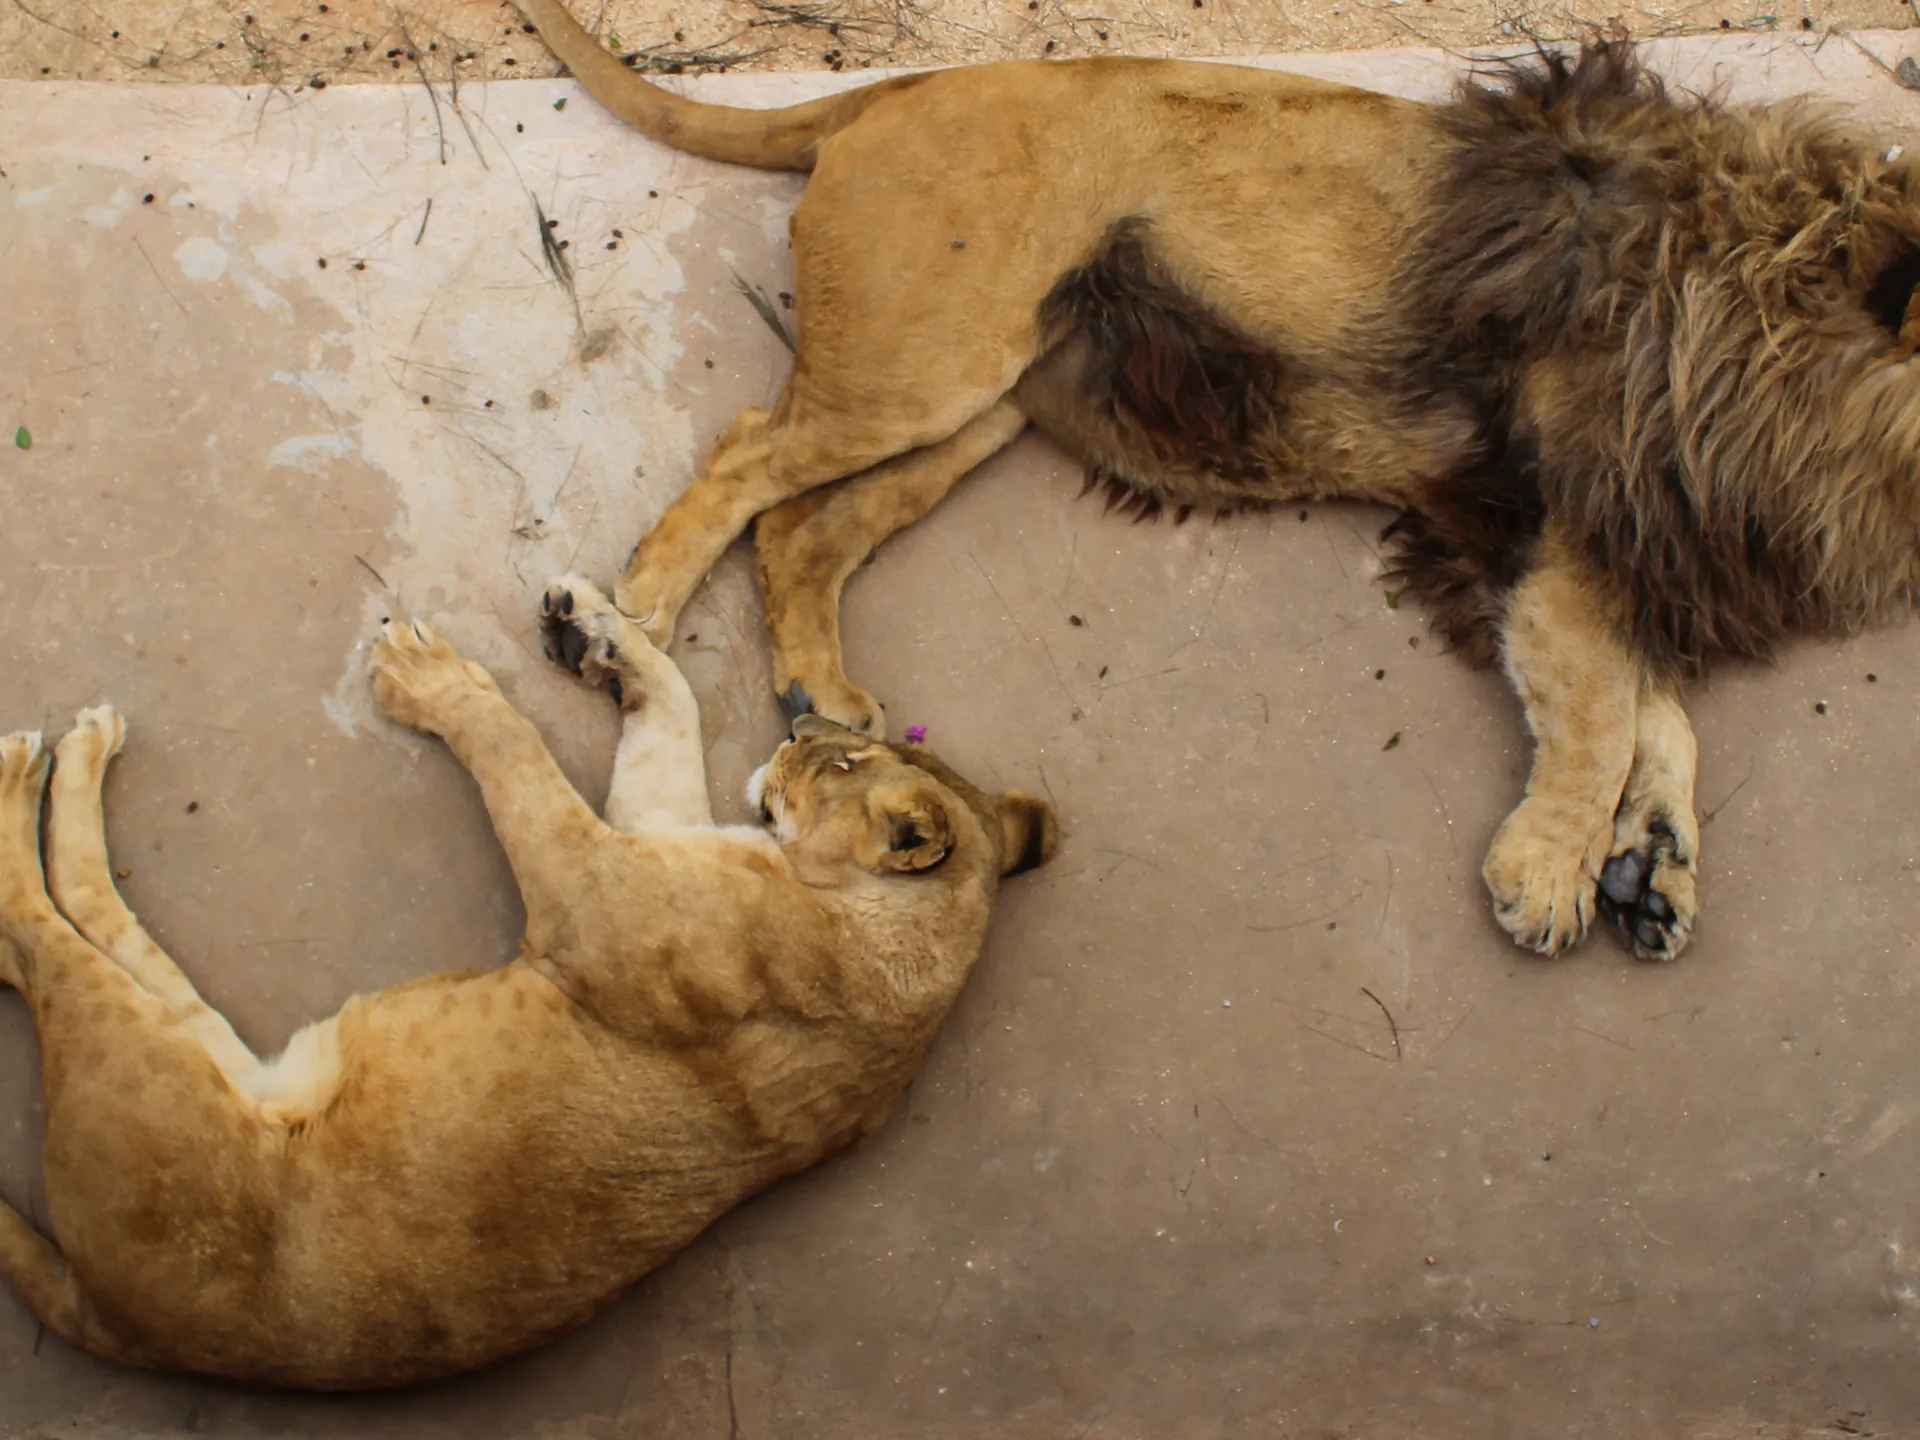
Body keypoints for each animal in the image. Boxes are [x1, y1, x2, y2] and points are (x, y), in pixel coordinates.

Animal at [0, 575, 1056, 1388]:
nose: (797, 727)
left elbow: (518, 758)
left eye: (841, 760)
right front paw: (599, 631)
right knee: (91, 916)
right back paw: (81, 751)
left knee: (39, 933)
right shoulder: (650, 832)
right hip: (192, 1041)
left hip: (141, 1074)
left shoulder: (588, 897)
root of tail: (115, 1321)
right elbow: (673, 708)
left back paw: (28, 769)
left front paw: (431, 678)